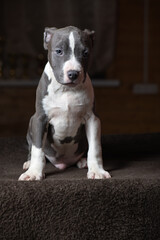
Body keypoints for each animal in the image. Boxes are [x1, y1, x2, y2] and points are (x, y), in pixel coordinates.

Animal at [18, 25, 111, 180]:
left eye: (85, 53)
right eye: (59, 51)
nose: (73, 73)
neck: (66, 89)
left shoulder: (92, 119)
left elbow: (95, 147)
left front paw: (97, 170)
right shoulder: (39, 119)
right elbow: (38, 149)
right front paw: (34, 172)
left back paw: (83, 161)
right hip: (31, 123)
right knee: (32, 147)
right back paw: (29, 163)